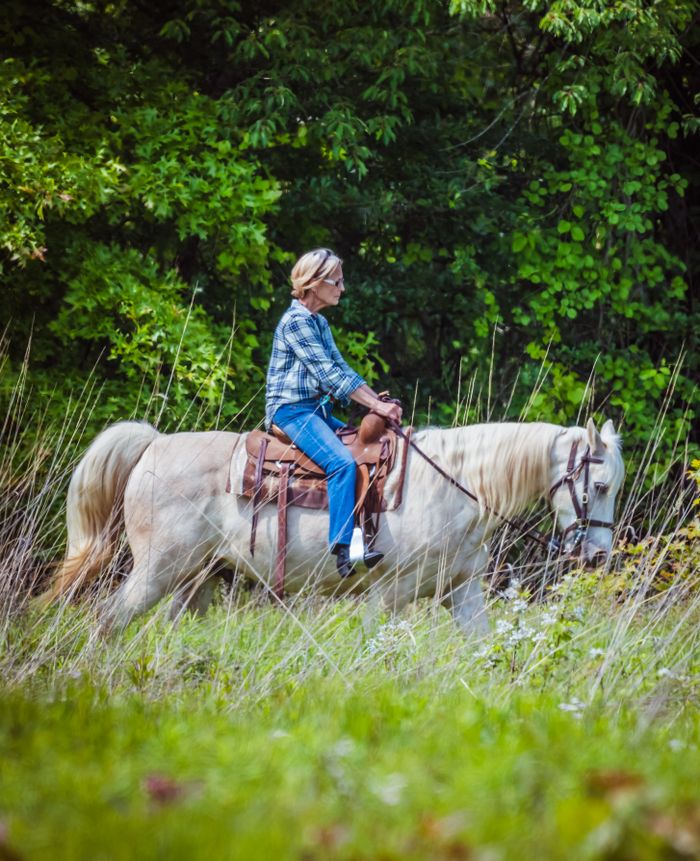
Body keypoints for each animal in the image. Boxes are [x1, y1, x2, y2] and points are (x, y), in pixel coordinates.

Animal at [39, 418, 624, 635]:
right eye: (598, 486)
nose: (597, 555)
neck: (456, 485)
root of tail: (152, 445)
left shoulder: (462, 591)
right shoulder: (389, 593)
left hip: (193, 580)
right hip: (156, 573)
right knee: (108, 620)